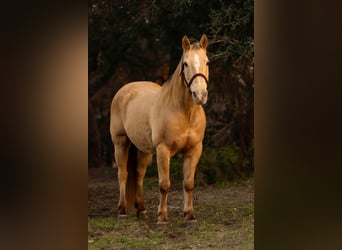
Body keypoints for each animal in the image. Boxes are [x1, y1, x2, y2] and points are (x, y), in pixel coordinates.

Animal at [111, 34, 210, 224]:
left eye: (207, 62)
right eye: (185, 64)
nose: (200, 95)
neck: (184, 112)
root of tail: (125, 89)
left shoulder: (194, 150)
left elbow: (188, 184)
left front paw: (189, 216)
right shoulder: (163, 150)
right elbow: (164, 185)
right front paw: (162, 218)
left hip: (144, 150)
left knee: (138, 174)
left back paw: (141, 210)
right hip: (121, 143)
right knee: (123, 174)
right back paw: (122, 210)